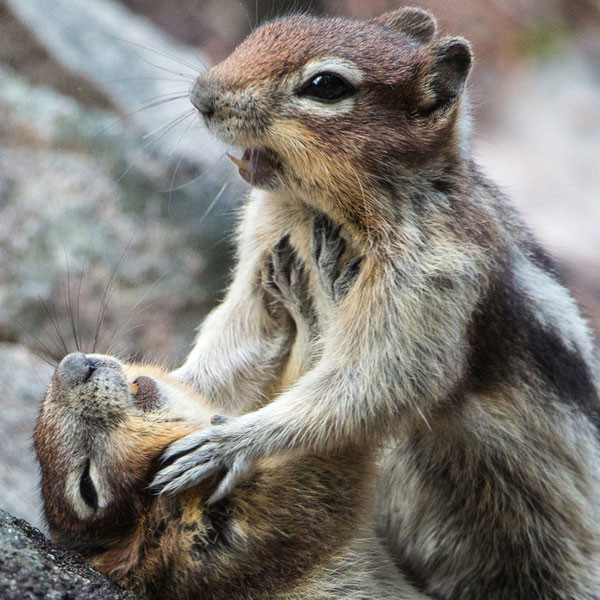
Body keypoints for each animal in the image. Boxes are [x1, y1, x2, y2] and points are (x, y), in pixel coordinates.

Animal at [144, 5, 596, 600]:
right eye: (267, 30)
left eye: (325, 85)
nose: (201, 96)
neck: (318, 209)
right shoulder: (260, 269)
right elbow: (234, 343)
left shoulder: (431, 282)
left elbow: (377, 379)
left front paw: (230, 443)